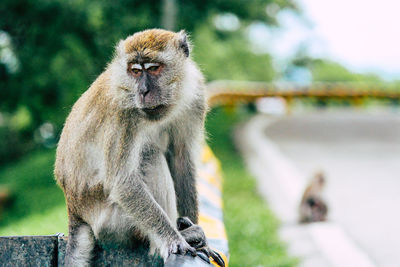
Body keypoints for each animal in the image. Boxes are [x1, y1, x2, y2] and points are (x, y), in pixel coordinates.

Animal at [54, 28, 225, 266]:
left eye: (153, 68)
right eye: (135, 71)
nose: (143, 91)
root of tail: (75, 210)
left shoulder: (196, 95)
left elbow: (181, 160)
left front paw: (202, 243)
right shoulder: (122, 111)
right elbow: (123, 182)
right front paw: (175, 241)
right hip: (112, 223)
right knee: (150, 157)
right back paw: (177, 236)